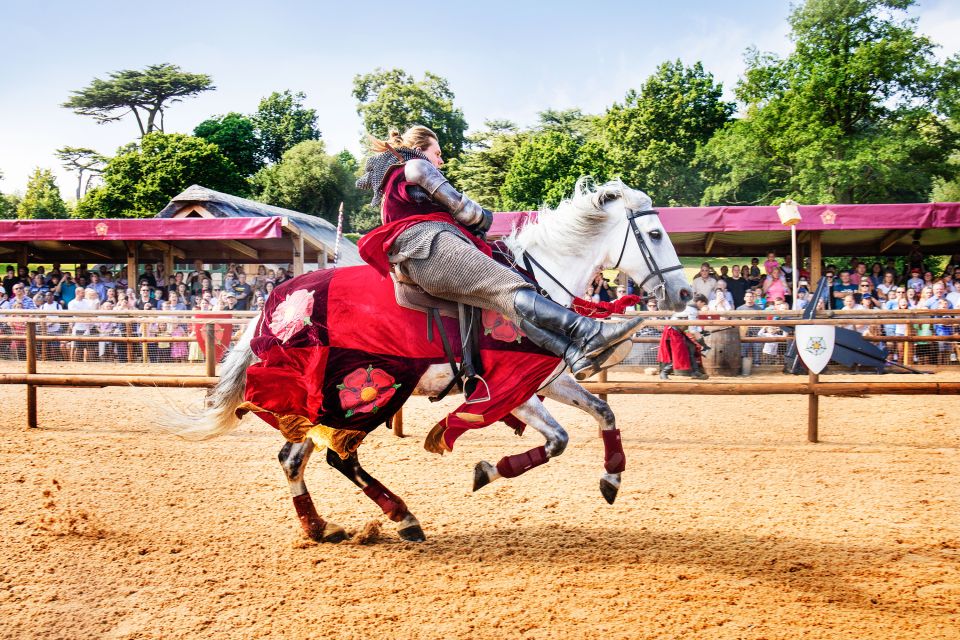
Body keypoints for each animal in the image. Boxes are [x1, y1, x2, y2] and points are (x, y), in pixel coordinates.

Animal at [163, 179, 688, 540]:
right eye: (655, 233)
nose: (684, 293)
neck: (539, 282)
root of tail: (276, 304)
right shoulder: (507, 389)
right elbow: (558, 439)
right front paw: (487, 470)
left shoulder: (548, 379)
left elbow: (601, 413)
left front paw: (612, 477)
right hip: (360, 396)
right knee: (337, 456)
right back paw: (402, 516)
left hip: (318, 405)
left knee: (293, 458)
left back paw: (320, 527)